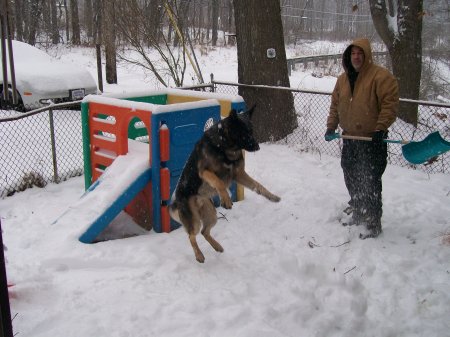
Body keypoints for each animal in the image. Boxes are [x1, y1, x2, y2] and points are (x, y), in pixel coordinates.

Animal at [170, 106, 282, 262]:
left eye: (252, 131)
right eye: (244, 132)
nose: (258, 147)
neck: (225, 146)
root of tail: (177, 201)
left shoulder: (239, 174)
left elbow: (258, 186)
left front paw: (272, 197)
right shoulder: (205, 172)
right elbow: (219, 183)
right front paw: (226, 199)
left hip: (211, 214)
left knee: (205, 232)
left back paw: (217, 246)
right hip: (195, 220)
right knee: (192, 236)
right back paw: (199, 255)